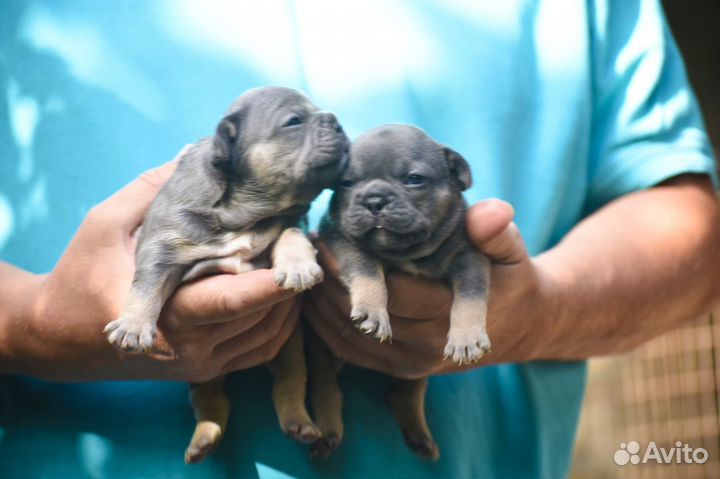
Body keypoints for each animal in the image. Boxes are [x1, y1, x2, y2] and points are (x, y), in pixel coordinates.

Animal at [102, 86, 348, 464]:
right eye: (294, 121)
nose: (337, 121)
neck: (244, 214)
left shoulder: (286, 222)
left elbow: (292, 234)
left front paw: (298, 266)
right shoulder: (162, 245)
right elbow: (148, 284)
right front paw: (133, 325)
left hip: (290, 347)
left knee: (293, 379)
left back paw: (302, 425)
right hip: (201, 370)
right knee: (210, 396)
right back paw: (205, 438)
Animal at [310, 124, 490, 462]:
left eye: (414, 179)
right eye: (347, 183)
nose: (374, 199)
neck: (407, 253)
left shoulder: (469, 256)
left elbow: (472, 297)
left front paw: (467, 336)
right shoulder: (344, 241)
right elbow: (368, 271)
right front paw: (373, 311)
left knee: (407, 392)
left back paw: (419, 436)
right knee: (325, 384)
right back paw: (327, 432)